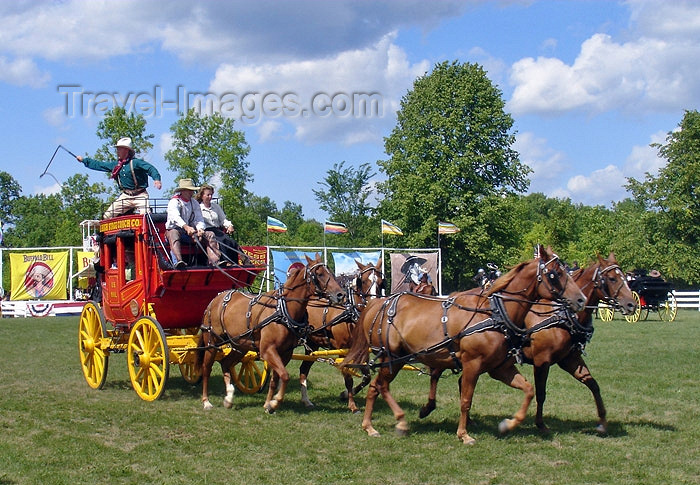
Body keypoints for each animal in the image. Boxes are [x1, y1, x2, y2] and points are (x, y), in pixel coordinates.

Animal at [197, 253, 344, 412]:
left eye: (330, 272)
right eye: (319, 274)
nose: (340, 294)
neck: (284, 311)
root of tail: (215, 299)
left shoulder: (285, 352)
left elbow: (276, 379)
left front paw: (268, 404)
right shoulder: (268, 350)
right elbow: (285, 376)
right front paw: (275, 402)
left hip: (240, 345)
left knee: (225, 363)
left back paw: (229, 397)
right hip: (212, 342)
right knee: (206, 369)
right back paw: (206, 401)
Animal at [300, 258, 386, 408]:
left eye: (381, 282)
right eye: (363, 281)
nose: (374, 303)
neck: (351, 314)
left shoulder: (361, 350)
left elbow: (367, 377)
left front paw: (345, 395)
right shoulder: (342, 348)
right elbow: (348, 377)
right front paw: (352, 405)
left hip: (312, 344)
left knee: (304, 369)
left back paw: (306, 400)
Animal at [340, 246, 584, 442]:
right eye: (555, 274)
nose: (580, 299)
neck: (494, 313)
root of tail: (379, 304)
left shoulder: (500, 368)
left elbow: (529, 390)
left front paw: (509, 424)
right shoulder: (472, 364)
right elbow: (466, 399)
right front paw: (464, 434)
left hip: (394, 358)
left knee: (375, 387)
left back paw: (369, 426)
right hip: (391, 356)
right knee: (381, 386)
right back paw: (399, 420)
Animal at [418, 253, 636, 434]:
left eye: (623, 277)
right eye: (612, 278)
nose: (631, 304)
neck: (561, 316)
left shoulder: (569, 360)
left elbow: (594, 385)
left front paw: (602, 423)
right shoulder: (542, 361)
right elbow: (541, 393)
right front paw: (540, 424)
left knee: (457, 380)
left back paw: (466, 419)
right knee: (436, 374)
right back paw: (428, 408)